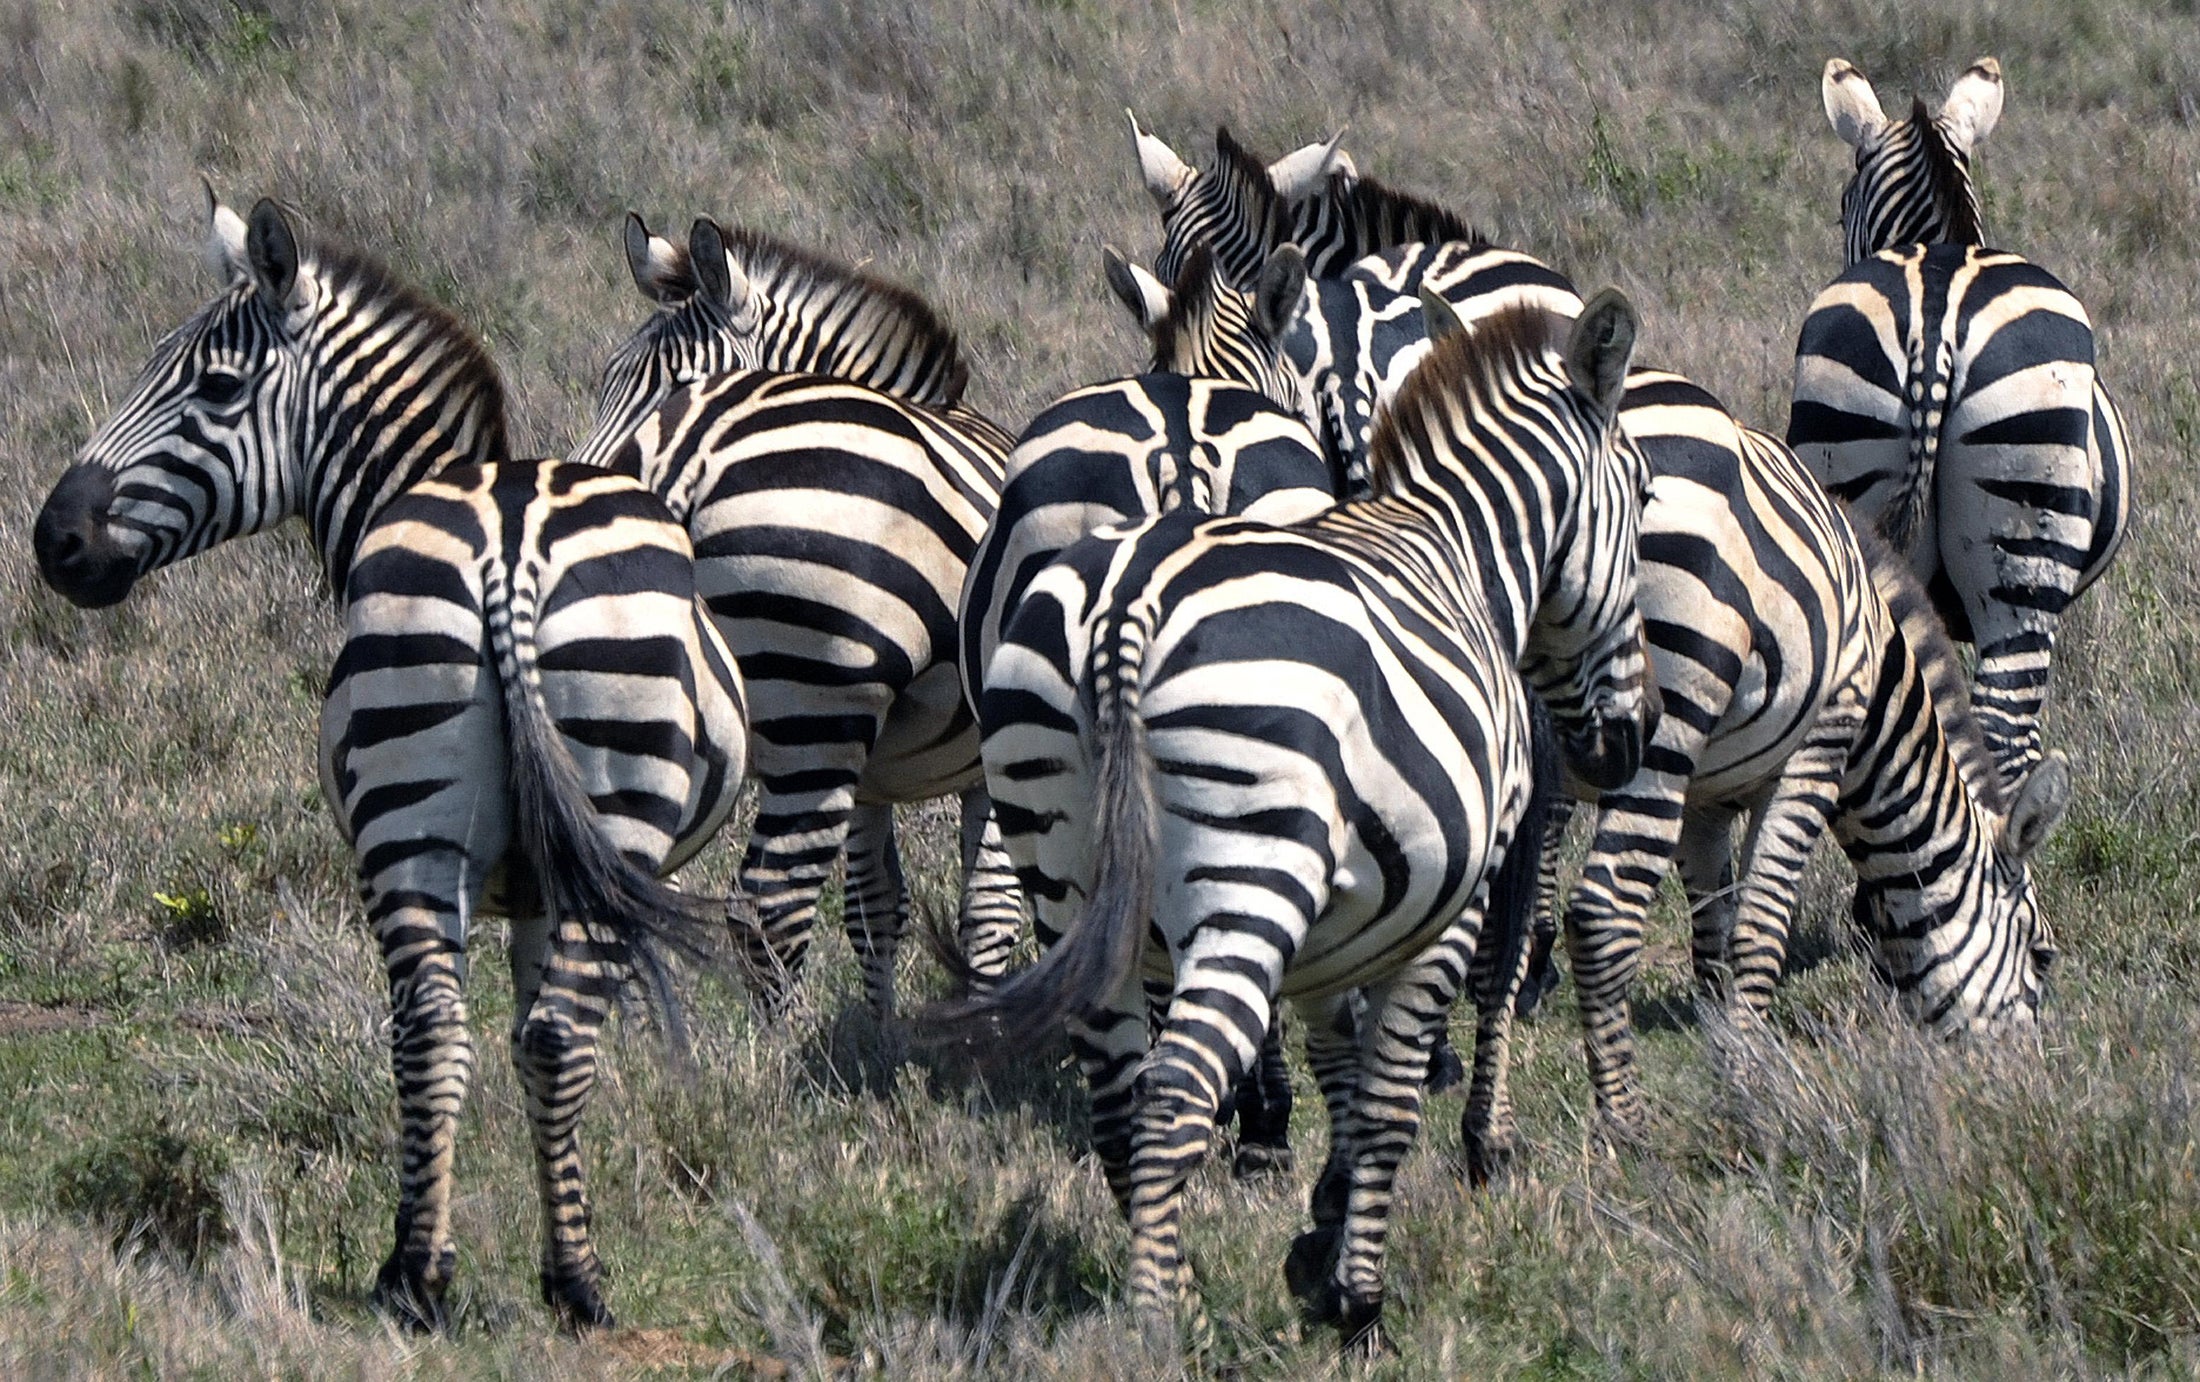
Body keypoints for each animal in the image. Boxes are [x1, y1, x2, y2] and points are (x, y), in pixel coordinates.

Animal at [30, 193, 748, 1332]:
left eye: (213, 386)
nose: (53, 541)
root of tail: (509, 544)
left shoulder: (528, 879)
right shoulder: (551, 878)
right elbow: (537, 1034)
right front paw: (557, 1253)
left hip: (417, 813)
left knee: (438, 1028)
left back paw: (420, 1271)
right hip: (578, 809)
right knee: (540, 1033)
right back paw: (561, 1281)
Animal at [570, 216, 1017, 1016]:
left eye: (673, 386)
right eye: (607, 387)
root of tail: (683, 457)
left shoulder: (880, 772)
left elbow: (877, 908)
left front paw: (880, 1036)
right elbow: (991, 909)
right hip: (817, 703)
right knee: (768, 905)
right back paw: (769, 1053)